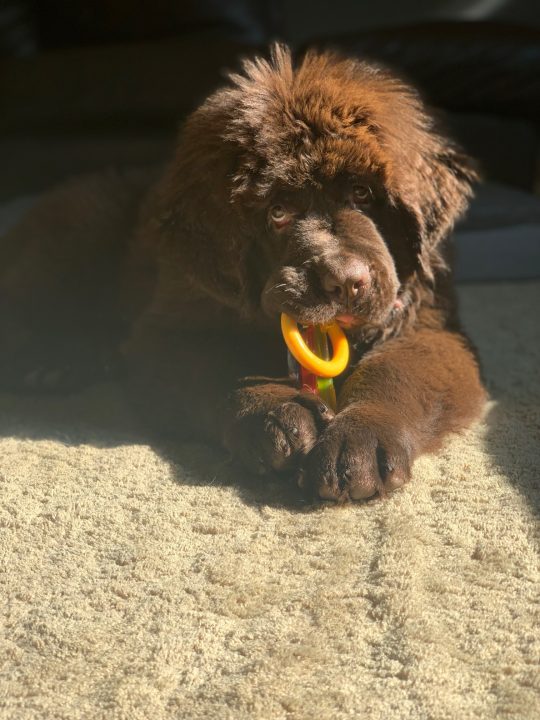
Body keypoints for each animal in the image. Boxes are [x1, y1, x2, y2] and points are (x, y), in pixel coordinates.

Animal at [0, 45, 486, 500]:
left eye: (363, 193)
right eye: (278, 212)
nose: (346, 281)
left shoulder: (425, 322)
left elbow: (395, 374)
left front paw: (358, 443)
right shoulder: (171, 329)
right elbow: (221, 369)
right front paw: (276, 417)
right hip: (81, 224)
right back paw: (51, 361)